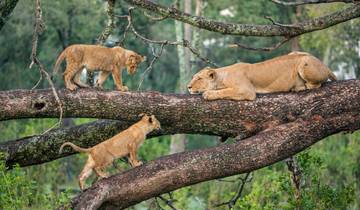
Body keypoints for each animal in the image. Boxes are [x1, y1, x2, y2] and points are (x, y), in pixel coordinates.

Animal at [187, 50, 336, 100]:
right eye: (192, 77)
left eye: (198, 78)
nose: (188, 87)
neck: (222, 76)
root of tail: (326, 66)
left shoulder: (247, 90)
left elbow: (226, 91)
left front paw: (208, 94)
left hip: (303, 62)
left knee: (316, 84)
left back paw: (300, 87)